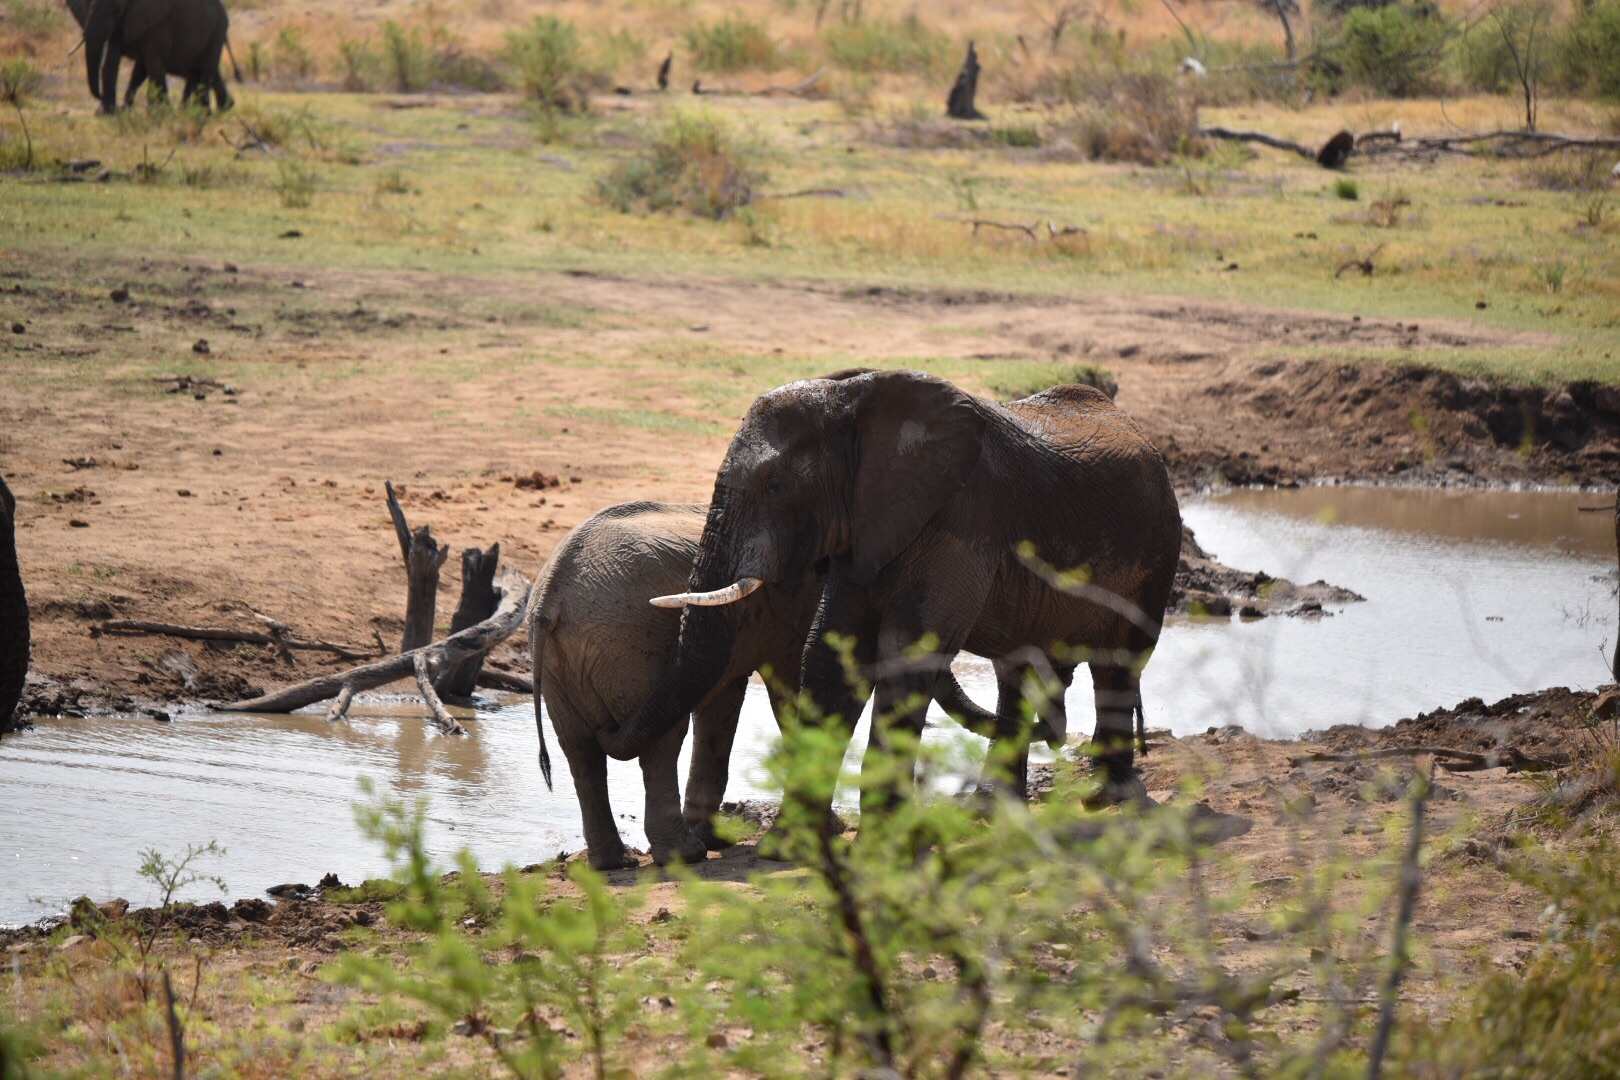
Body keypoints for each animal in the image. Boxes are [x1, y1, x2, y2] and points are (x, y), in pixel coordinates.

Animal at [528, 505, 997, 867]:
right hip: (626, 646)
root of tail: (550, 596)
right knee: (657, 743)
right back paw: (683, 856)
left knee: (580, 751)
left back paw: (615, 862)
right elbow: (788, 691)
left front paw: (718, 839)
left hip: (568, 664)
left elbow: (722, 705)